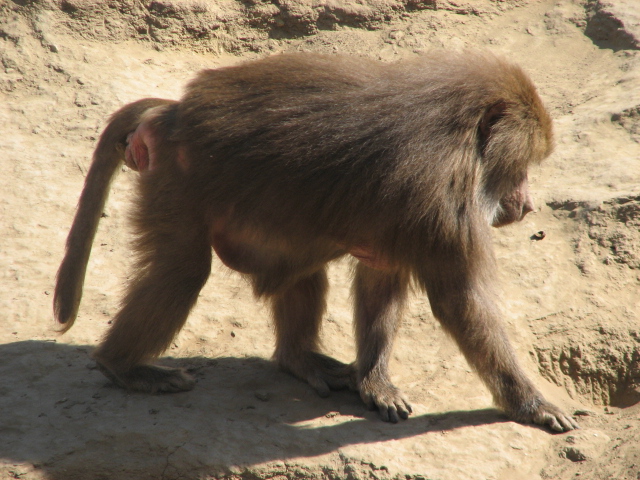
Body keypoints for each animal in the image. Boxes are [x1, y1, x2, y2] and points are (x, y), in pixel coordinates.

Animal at [55, 51, 578, 431]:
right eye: (521, 168)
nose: (527, 207)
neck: (457, 132)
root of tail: (172, 114)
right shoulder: (444, 200)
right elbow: (462, 303)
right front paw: (531, 405)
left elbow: (381, 280)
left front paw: (374, 381)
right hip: (174, 181)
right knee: (181, 273)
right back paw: (122, 366)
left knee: (301, 273)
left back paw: (299, 360)